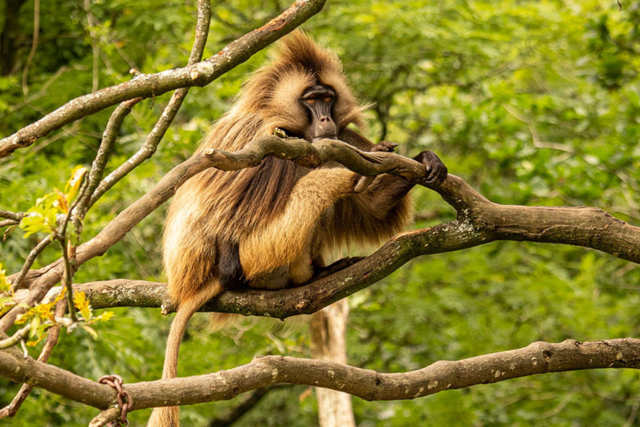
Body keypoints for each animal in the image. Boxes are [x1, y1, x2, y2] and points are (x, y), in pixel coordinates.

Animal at [149, 31, 444, 426]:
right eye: (311, 100)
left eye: (328, 98)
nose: (325, 119)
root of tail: (187, 284)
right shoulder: (262, 133)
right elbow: (222, 211)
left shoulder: (345, 135)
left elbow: (373, 207)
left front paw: (422, 159)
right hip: (259, 253)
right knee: (292, 176)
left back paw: (316, 273)